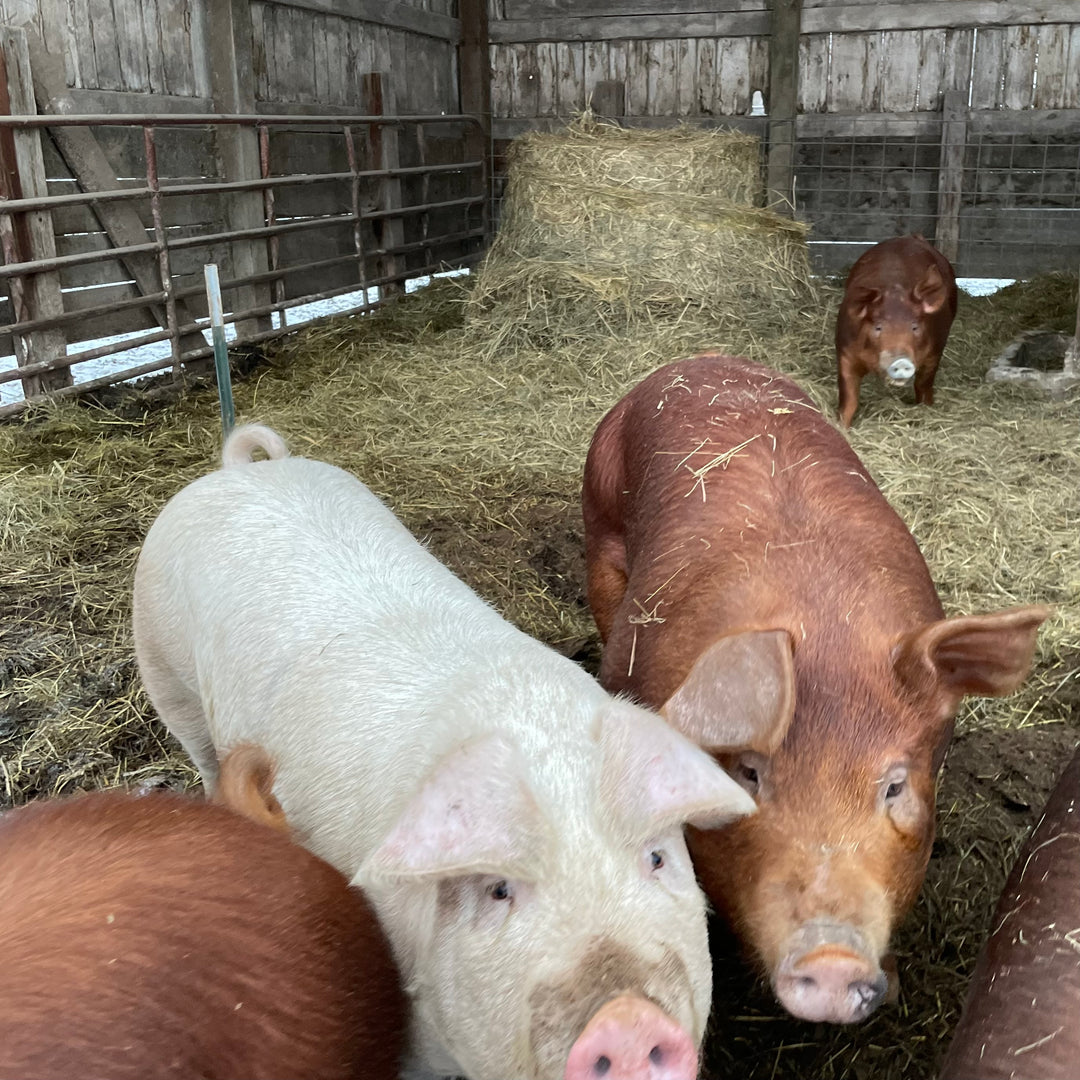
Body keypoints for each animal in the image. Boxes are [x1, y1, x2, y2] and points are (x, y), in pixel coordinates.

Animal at [835, 234, 958, 427]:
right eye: (878, 327)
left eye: (914, 327)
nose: (900, 361)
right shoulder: (845, 350)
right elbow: (849, 398)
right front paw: (840, 426)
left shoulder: (935, 350)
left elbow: (923, 384)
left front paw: (926, 409)